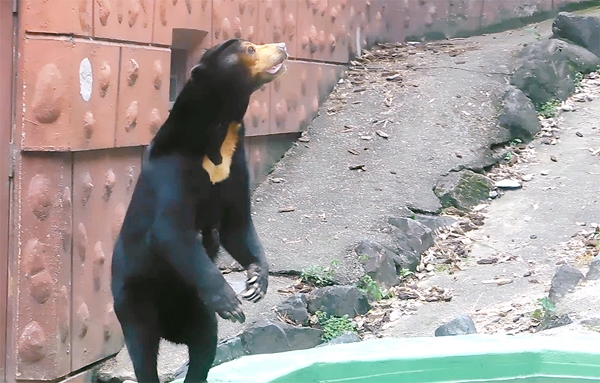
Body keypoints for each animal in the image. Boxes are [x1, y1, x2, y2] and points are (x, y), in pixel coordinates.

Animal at [113, 39, 290, 383]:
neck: (219, 130)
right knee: (143, 350)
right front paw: (231, 302)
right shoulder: (173, 169)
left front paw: (257, 281)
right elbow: (172, 231)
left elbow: (237, 224)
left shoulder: (235, 162)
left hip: (195, 307)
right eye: (250, 49)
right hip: (135, 298)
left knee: (204, 341)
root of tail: (170, 328)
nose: (283, 45)